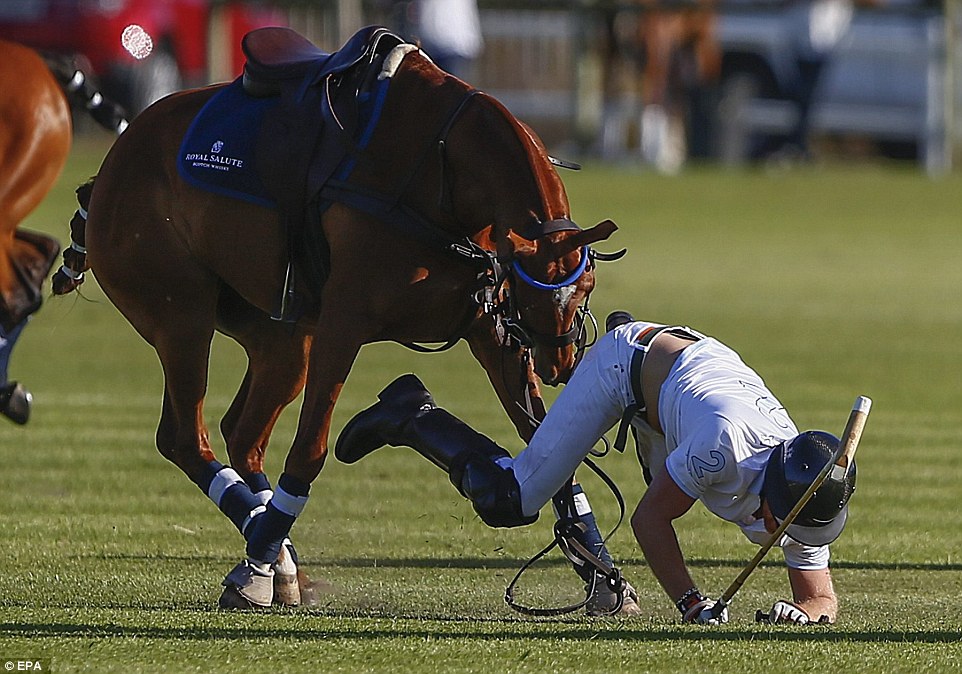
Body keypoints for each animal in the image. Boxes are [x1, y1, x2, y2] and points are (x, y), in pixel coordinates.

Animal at [54, 30, 624, 608]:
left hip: (281, 338)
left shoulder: (491, 333)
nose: (560, 361)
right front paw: (257, 560)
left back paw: (278, 559)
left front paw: (602, 576)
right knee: (185, 437)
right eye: (543, 293)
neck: (443, 170)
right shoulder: (343, 325)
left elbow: (550, 443)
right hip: (181, 315)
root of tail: (111, 166)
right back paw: (262, 552)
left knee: (243, 434)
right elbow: (309, 452)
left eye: (587, 287)